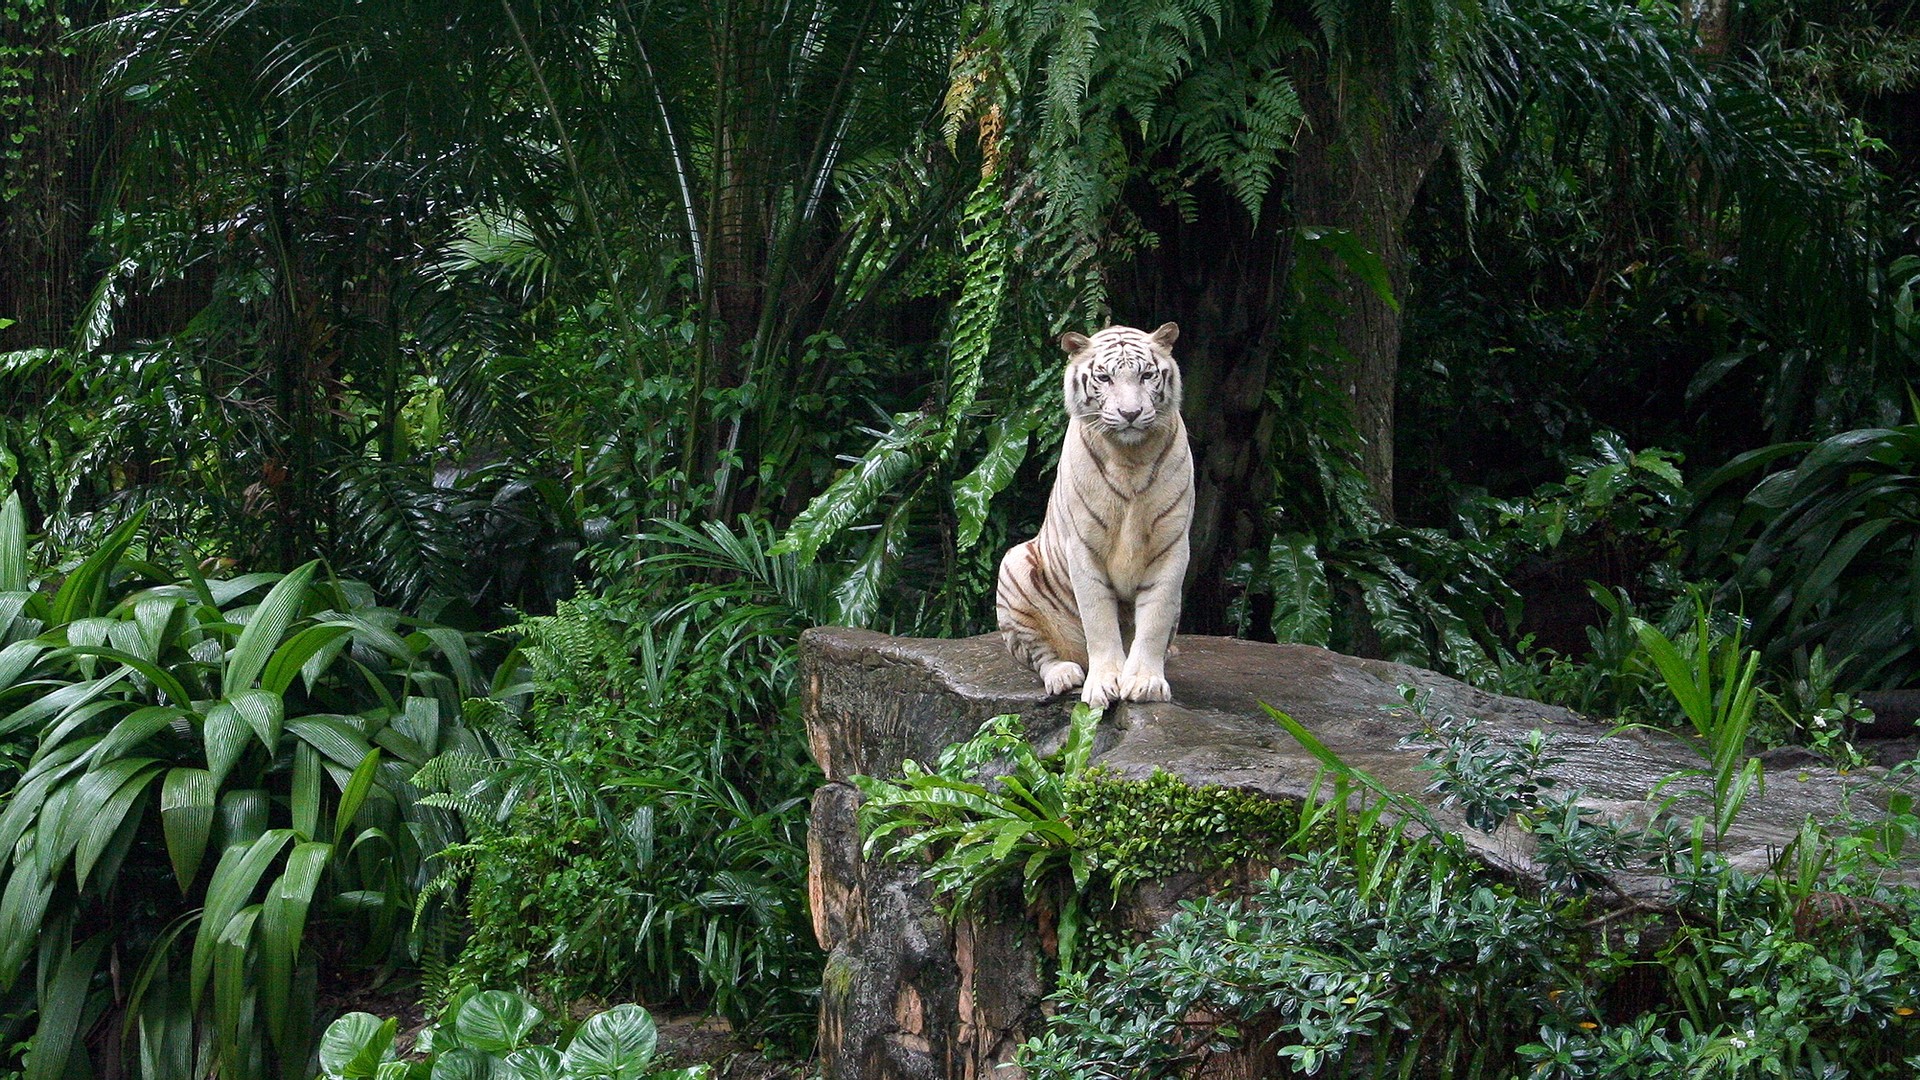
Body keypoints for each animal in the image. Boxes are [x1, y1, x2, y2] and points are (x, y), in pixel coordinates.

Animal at [996, 321, 1194, 708]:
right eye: (1104, 377)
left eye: (1146, 375)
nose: (1131, 414)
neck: (1131, 458)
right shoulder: (1083, 547)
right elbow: (1099, 620)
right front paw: (1105, 684)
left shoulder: (1172, 545)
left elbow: (1155, 618)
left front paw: (1145, 683)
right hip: (1013, 567)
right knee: (1040, 655)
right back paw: (1063, 675)